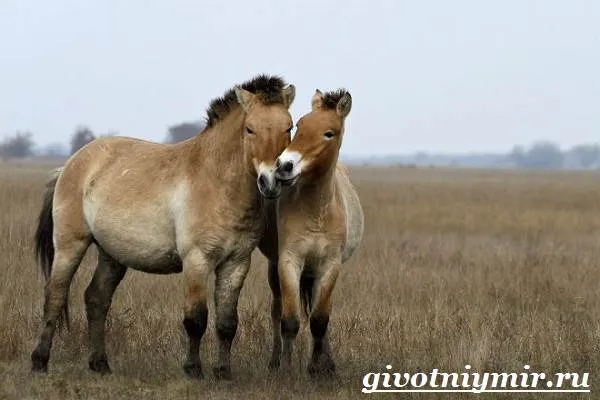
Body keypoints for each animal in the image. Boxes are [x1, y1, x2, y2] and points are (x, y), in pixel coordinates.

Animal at [30, 74, 298, 378]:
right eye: (249, 129)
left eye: (289, 127)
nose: (272, 180)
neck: (217, 181)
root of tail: (70, 164)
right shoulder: (197, 260)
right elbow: (196, 319)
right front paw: (193, 370)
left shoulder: (236, 263)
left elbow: (227, 324)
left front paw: (223, 373)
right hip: (69, 245)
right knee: (55, 296)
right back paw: (39, 361)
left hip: (112, 255)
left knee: (96, 299)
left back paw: (100, 364)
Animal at [256, 88, 360, 378]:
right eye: (299, 126)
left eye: (329, 133)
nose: (284, 166)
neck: (316, 211)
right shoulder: (289, 261)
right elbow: (289, 320)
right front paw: (286, 368)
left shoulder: (330, 265)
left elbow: (320, 320)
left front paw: (317, 367)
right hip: (275, 269)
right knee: (276, 311)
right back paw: (273, 361)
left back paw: (328, 362)